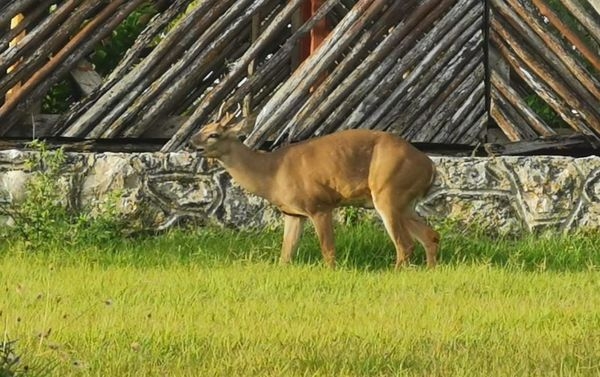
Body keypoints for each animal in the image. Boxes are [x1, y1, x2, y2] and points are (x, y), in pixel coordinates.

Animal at [189, 111, 440, 268]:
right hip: (405, 202)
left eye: (214, 134)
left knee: (405, 244)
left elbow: (328, 251)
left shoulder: (319, 205)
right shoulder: (292, 213)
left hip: (389, 191)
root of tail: (430, 165)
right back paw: (429, 271)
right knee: (431, 235)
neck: (271, 173)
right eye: (202, 128)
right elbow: (285, 255)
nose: (191, 144)